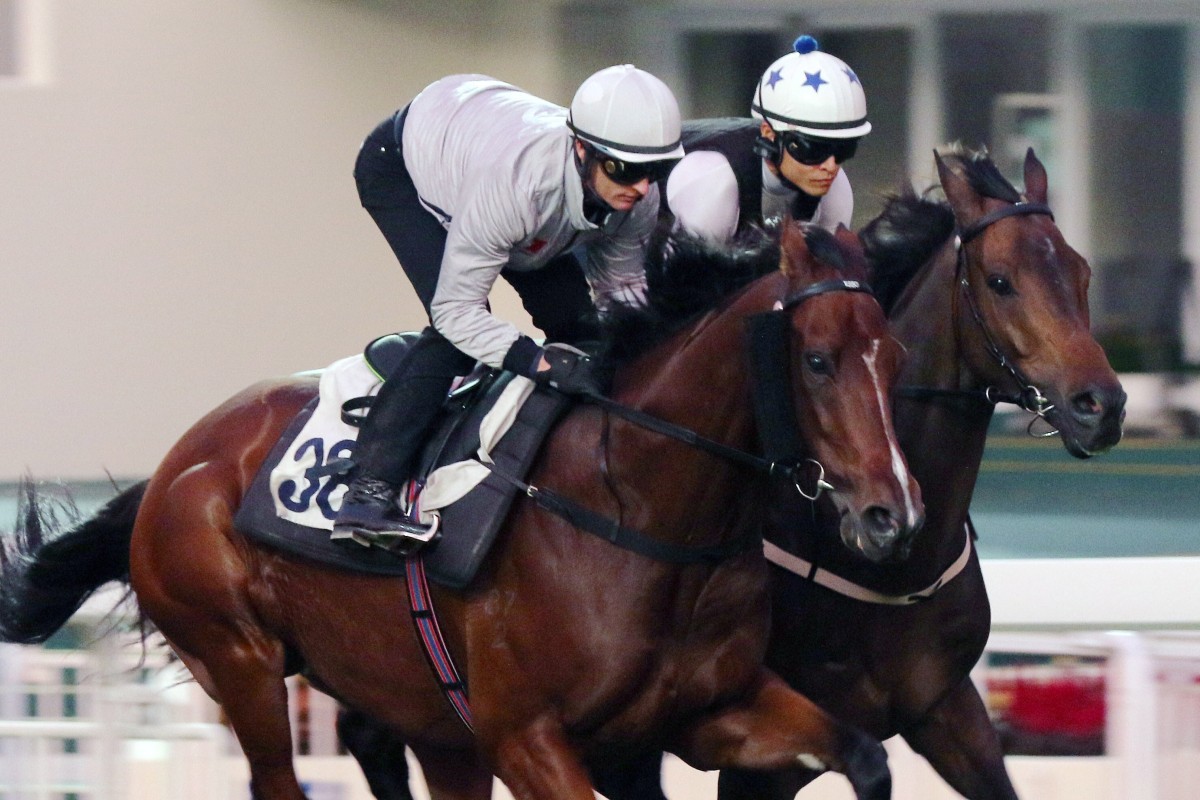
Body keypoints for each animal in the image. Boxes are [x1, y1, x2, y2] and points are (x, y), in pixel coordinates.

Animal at [2, 221, 916, 796]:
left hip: (422, 713)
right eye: (820, 360)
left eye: (896, 354)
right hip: (239, 659)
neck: (644, 516)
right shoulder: (527, 737)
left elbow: (866, 758)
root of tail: (172, 469)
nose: (892, 515)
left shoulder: (707, 711)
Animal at [331, 146, 1123, 796]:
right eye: (1000, 280)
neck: (887, 570)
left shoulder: (947, 710)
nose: (1103, 404)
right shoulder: (733, 755)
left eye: (1083, 273)